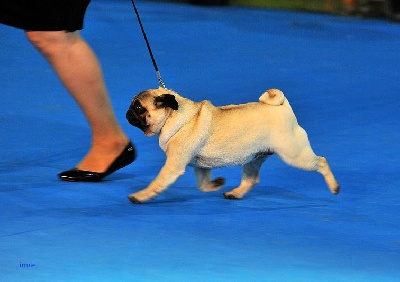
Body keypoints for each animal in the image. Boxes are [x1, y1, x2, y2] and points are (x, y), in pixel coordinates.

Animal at [126, 86, 340, 203]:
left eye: (138, 107)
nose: (127, 112)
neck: (174, 116)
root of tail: (282, 107)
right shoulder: (201, 166)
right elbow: (203, 184)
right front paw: (216, 184)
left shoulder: (173, 165)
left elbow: (157, 183)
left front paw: (141, 196)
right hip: (254, 159)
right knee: (251, 179)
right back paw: (235, 193)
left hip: (294, 154)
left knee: (322, 161)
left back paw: (334, 187)